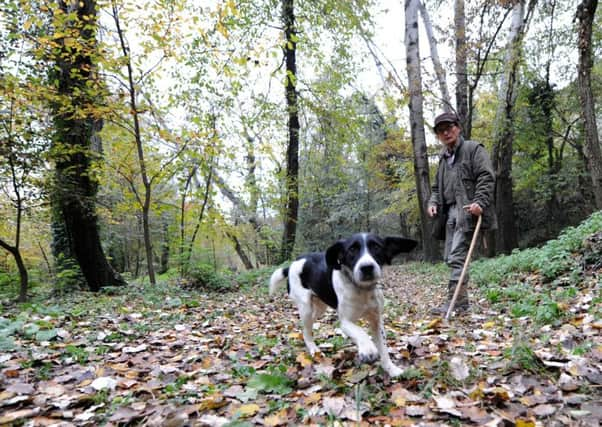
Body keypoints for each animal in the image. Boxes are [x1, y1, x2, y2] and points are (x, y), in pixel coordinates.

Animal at [268, 234, 414, 378]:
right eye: (352, 250)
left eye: (376, 247)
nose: (367, 267)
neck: (362, 290)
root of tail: (292, 264)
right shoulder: (345, 322)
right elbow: (360, 331)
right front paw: (368, 348)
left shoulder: (376, 320)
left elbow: (383, 348)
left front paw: (391, 369)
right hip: (306, 308)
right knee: (306, 330)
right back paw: (313, 349)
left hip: (320, 307)